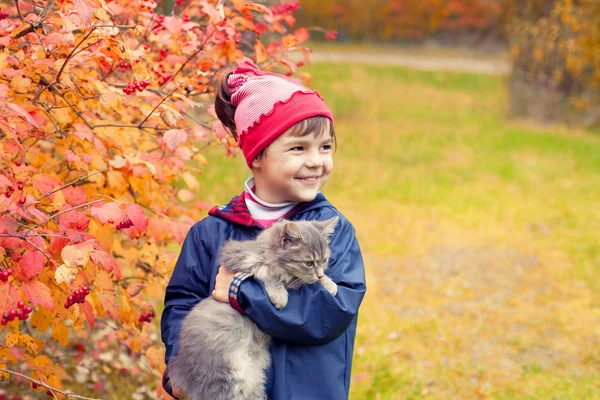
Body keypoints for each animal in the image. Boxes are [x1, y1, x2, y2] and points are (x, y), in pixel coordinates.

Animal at [166, 217, 340, 398]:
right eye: (309, 263)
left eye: (324, 260)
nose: (319, 274)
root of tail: (182, 370)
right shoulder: (239, 256)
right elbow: (268, 272)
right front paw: (279, 294)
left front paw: (328, 282)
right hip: (227, 381)